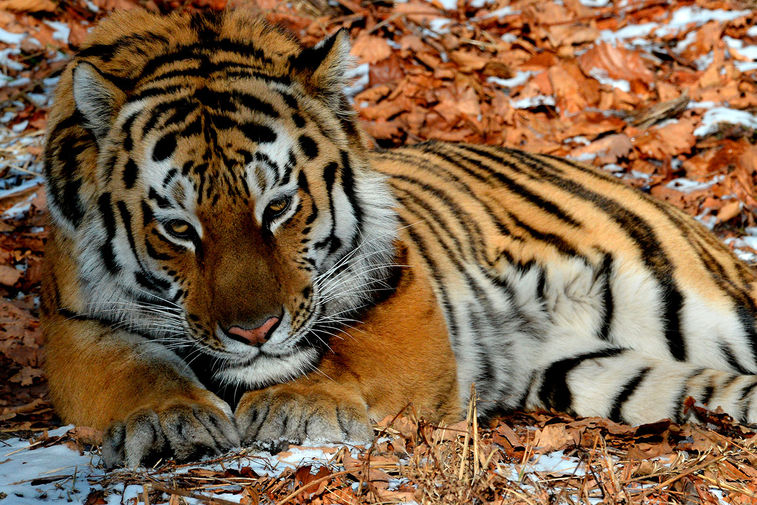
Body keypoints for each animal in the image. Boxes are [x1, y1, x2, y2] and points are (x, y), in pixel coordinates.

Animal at [42, 7, 756, 466]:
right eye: (178, 228)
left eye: (278, 207)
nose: (254, 331)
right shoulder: (71, 322)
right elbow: (131, 367)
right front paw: (171, 424)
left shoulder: (402, 288)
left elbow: (350, 354)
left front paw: (297, 407)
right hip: (601, 374)